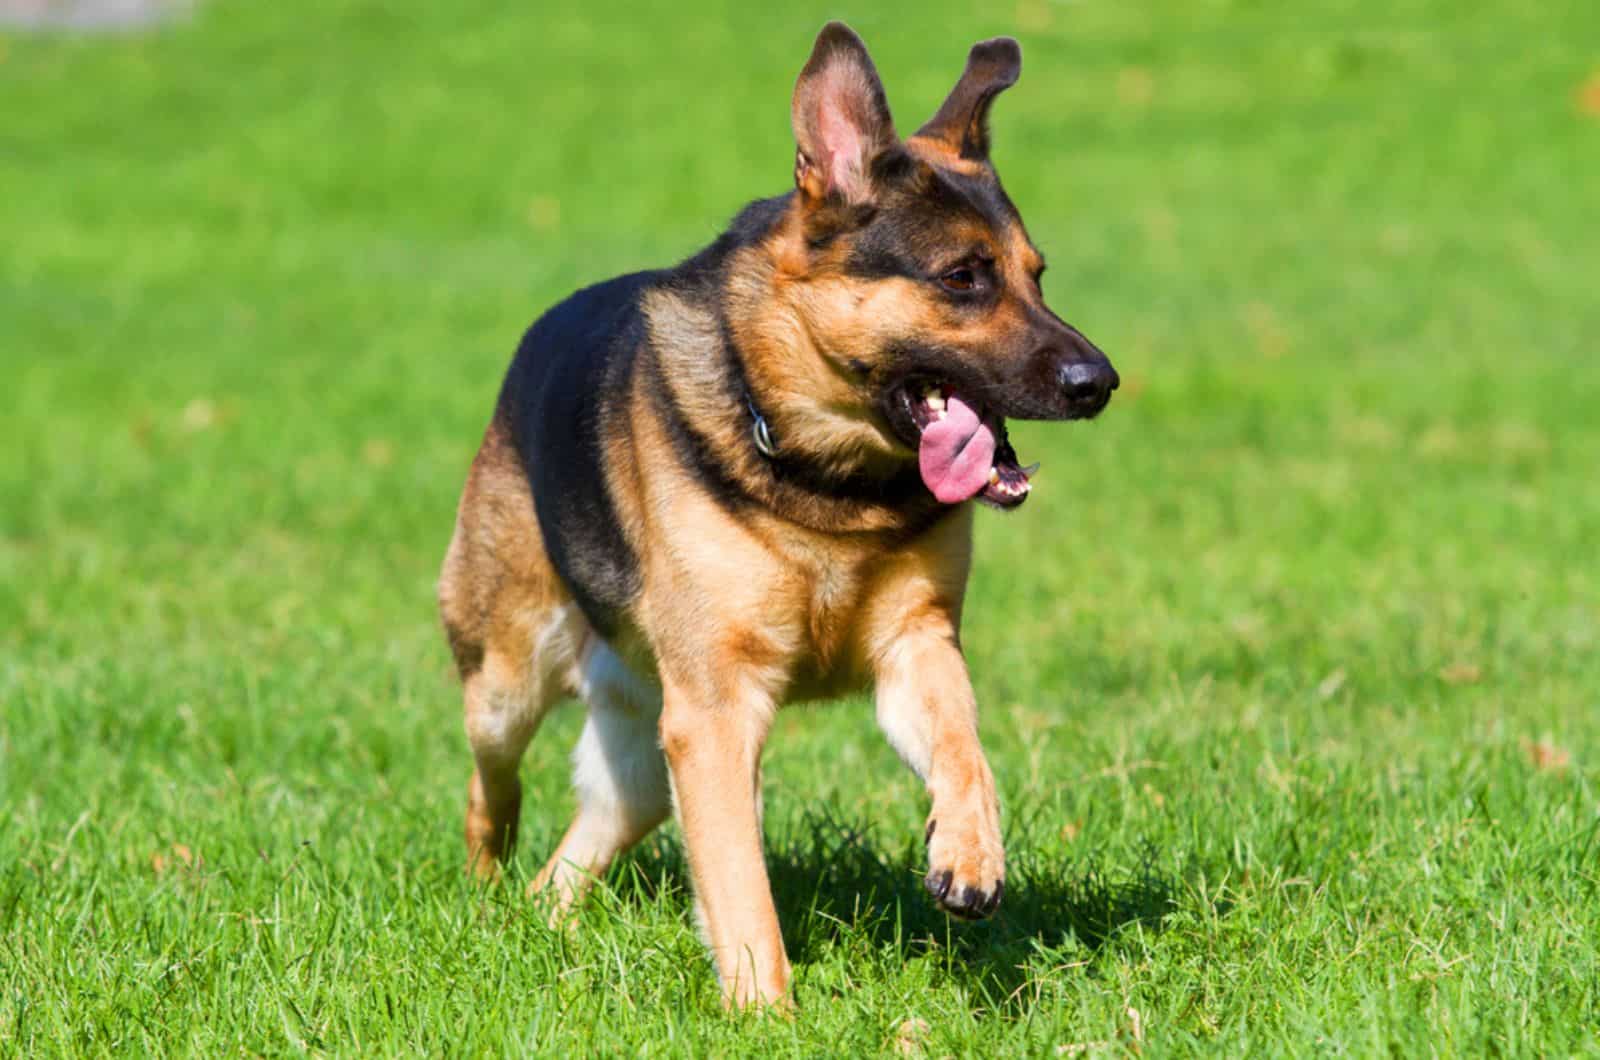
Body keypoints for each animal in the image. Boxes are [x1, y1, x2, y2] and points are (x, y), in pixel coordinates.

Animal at [438, 20, 1113, 1011]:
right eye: (962, 278)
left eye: (1037, 276)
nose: (1099, 383)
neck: (829, 482)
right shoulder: (718, 716)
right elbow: (740, 884)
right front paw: (766, 1013)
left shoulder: (915, 647)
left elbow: (966, 748)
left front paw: (970, 855)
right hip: (508, 680)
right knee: (491, 792)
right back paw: (486, 893)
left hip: (640, 739)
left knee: (600, 825)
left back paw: (542, 923)